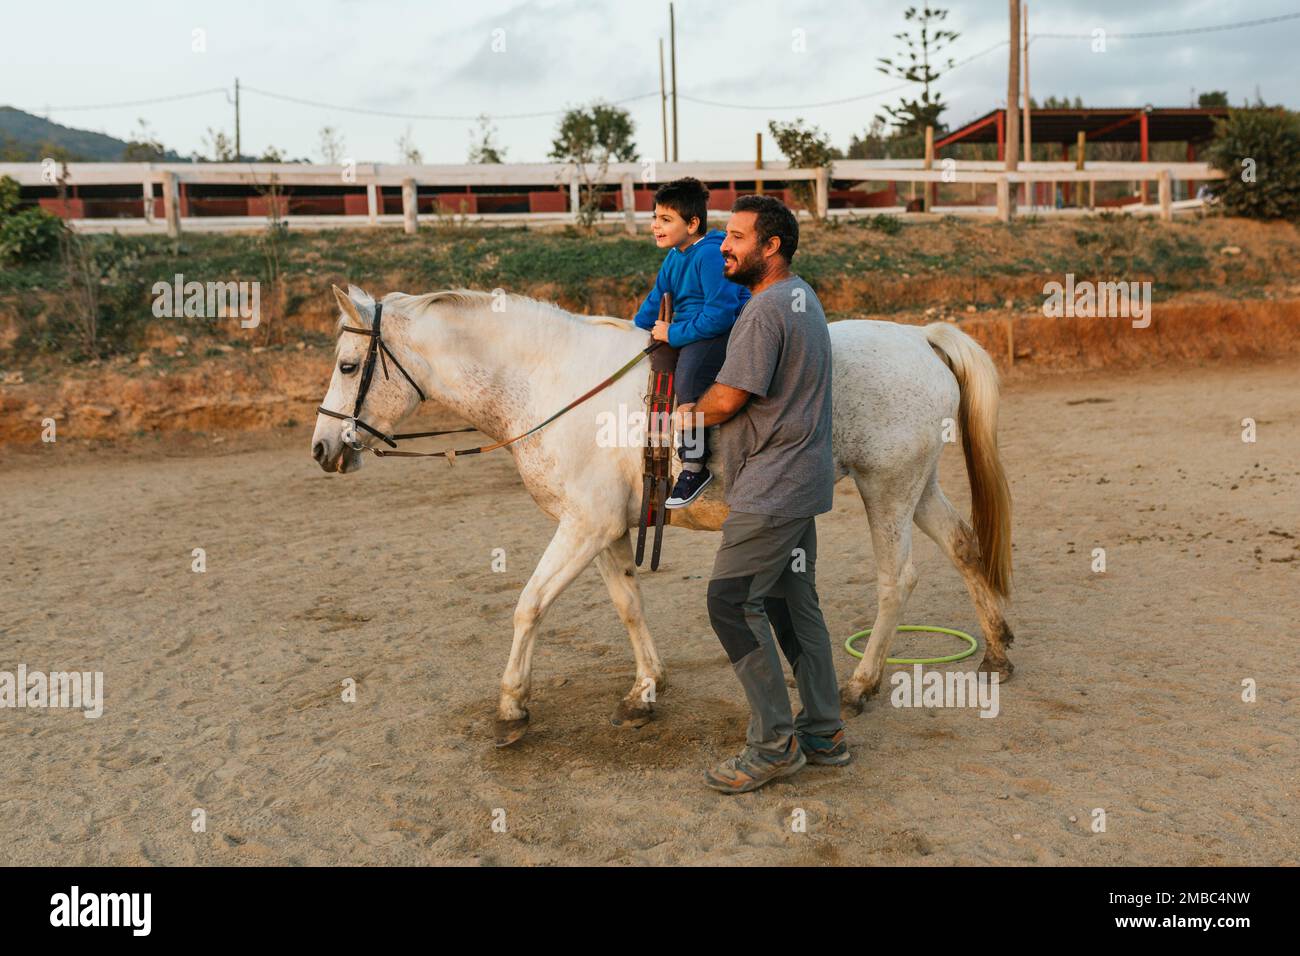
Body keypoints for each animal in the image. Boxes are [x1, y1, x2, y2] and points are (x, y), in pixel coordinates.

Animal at [306, 286, 1013, 749]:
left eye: (348, 365)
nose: (322, 449)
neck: (555, 384)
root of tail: (918, 336)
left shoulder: (583, 527)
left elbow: (529, 605)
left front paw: (512, 707)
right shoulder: (607, 530)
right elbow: (628, 605)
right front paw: (646, 689)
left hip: (886, 487)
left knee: (899, 580)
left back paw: (863, 684)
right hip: (918, 486)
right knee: (964, 546)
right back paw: (997, 650)